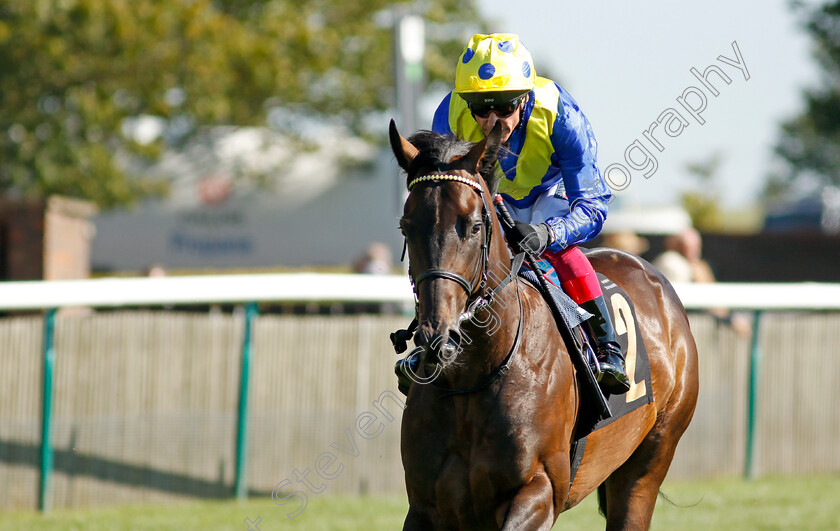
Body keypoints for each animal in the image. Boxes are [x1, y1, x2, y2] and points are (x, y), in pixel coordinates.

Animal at [390, 120, 700, 531]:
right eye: (406, 226)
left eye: (474, 226)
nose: (438, 337)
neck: (475, 375)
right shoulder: (426, 506)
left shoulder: (541, 490)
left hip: (649, 460)